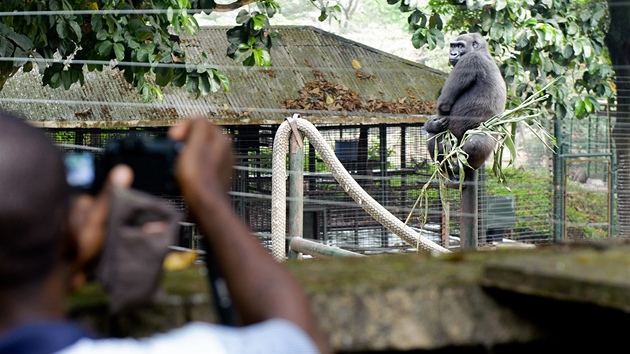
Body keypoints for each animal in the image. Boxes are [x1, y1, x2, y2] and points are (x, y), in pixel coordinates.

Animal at [424, 32, 508, 174]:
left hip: (488, 133)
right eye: (453, 46)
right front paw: (432, 124)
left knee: (476, 142)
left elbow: (444, 105)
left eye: (460, 46)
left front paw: (433, 123)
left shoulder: (469, 60)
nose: (453, 54)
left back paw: (462, 167)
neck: (482, 51)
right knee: (434, 138)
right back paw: (447, 168)